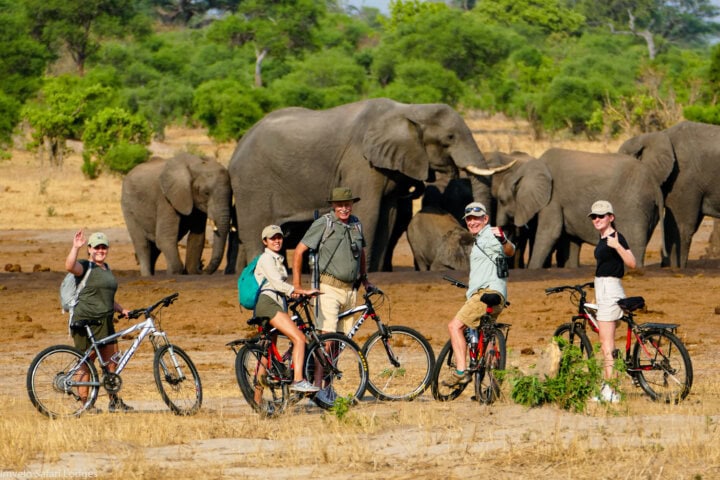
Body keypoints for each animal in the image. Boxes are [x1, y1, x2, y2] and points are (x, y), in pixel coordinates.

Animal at [228, 98, 507, 271]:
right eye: (449, 138)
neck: (410, 110)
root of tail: (238, 148)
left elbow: (387, 217)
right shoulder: (360, 162)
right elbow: (369, 212)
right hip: (251, 184)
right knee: (255, 232)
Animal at [492, 148, 673, 269]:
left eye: (501, 200)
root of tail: (654, 183)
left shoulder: (553, 198)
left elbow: (550, 232)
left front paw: (533, 269)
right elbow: (571, 240)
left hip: (634, 204)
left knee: (634, 242)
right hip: (649, 208)